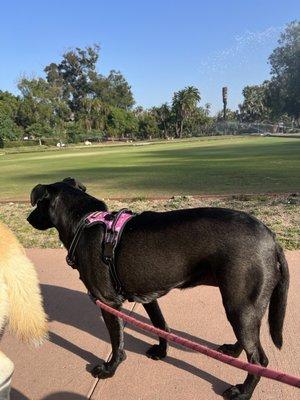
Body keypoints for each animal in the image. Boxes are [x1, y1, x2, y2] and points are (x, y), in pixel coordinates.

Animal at [27, 179, 290, 400]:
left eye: (38, 204)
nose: (28, 219)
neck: (84, 220)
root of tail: (272, 239)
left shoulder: (108, 302)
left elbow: (116, 342)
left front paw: (110, 369)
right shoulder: (147, 297)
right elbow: (161, 326)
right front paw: (162, 352)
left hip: (239, 305)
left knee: (259, 359)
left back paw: (243, 392)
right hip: (242, 306)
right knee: (249, 342)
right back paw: (233, 352)